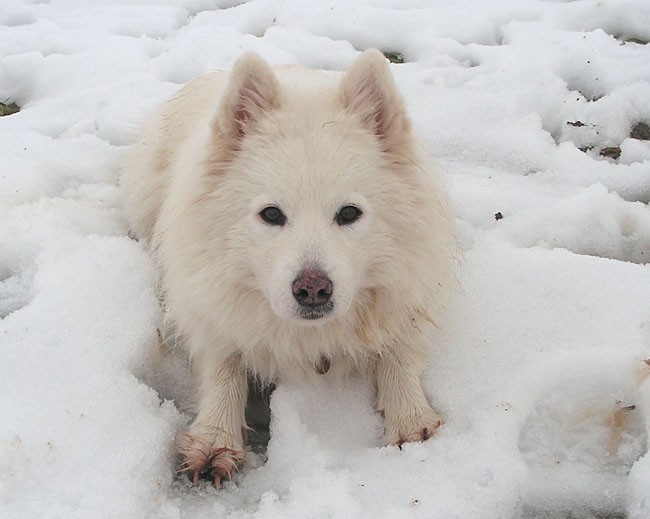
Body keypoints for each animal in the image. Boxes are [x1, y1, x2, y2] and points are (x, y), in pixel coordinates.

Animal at [123, 49, 456, 488]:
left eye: (349, 213)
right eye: (271, 214)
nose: (313, 288)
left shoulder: (411, 289)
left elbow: (399, 351)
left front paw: (411, 419)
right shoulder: (208, 299)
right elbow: (222, 364)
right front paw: (215, 437)